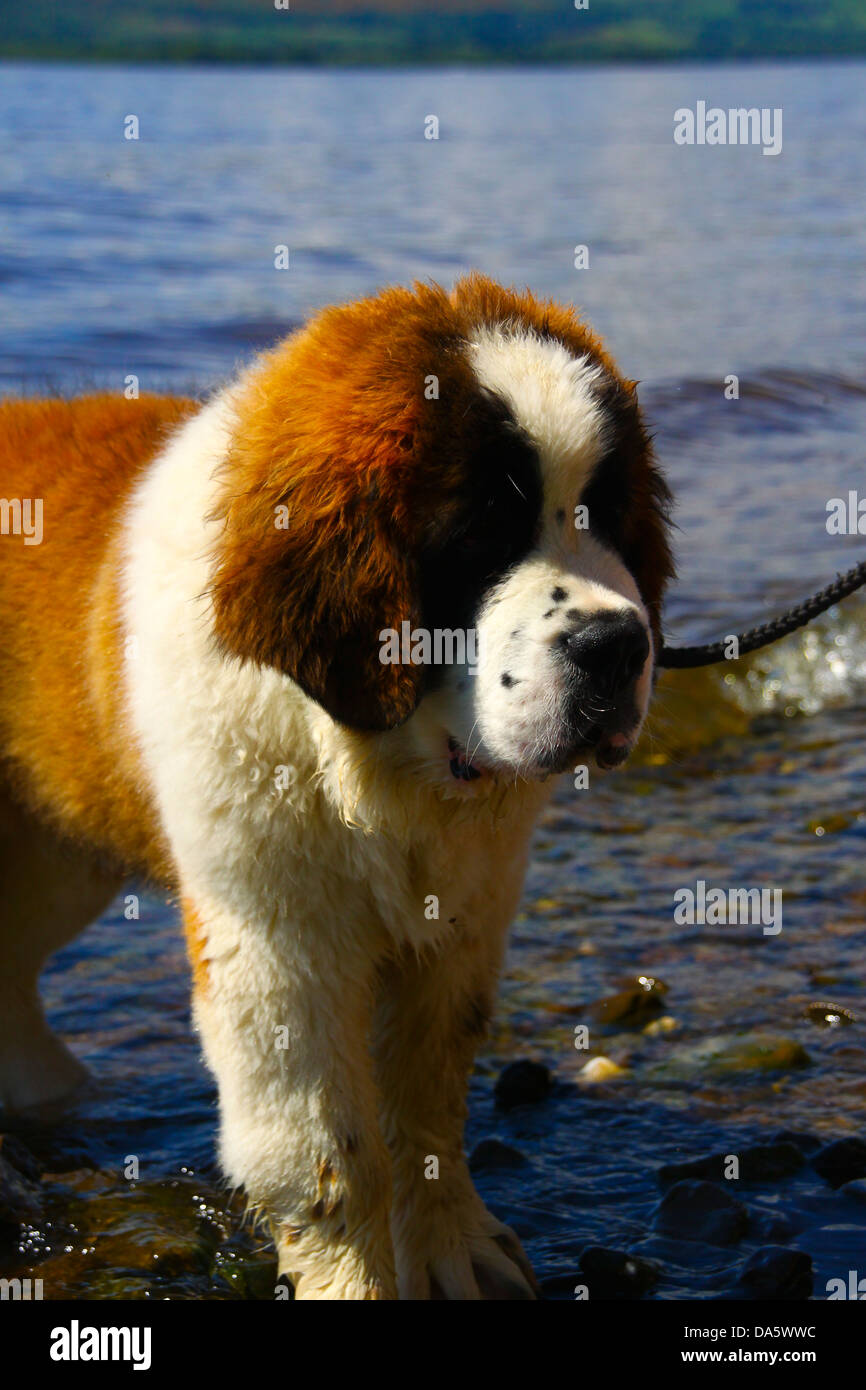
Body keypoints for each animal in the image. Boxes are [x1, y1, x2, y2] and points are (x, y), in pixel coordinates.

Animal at [0, 276, 675, 1295]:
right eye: (481, 530)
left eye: (610, 511)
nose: (617, 647)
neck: (380, 757)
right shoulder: (276, 947)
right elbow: (325, 1153)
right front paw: (352, 1280)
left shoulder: (462, 920)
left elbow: (428, 1102)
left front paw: (450, 1246)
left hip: (55, 859)